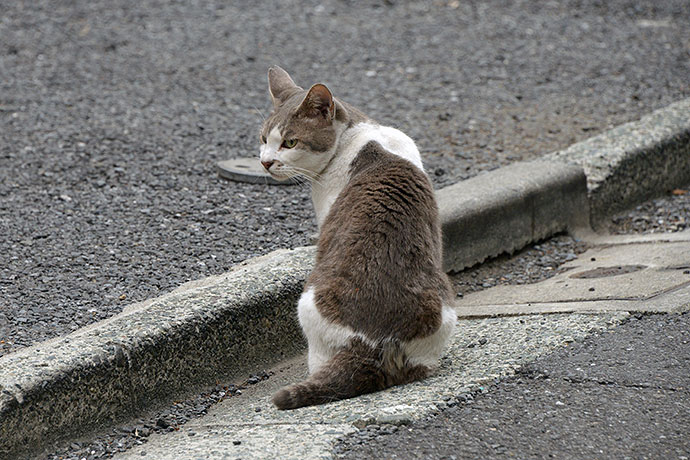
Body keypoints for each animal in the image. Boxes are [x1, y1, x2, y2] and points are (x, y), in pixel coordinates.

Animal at [255, 65, 454, 410]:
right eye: (264, 139)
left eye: (290, 142)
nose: (266, 162)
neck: (357, 134)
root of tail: (379, 342)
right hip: (444, 304)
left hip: (308, 303)